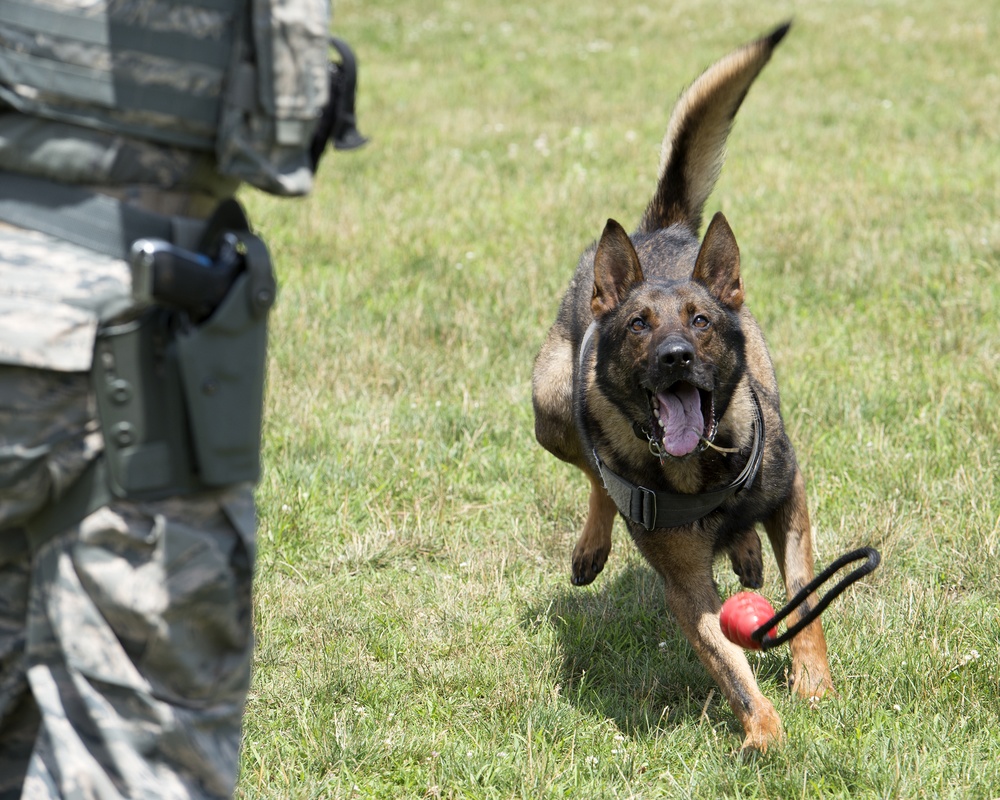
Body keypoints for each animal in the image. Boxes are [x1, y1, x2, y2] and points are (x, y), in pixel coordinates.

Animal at [536, 23, 832, 752]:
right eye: (640, 324)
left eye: (700, 321)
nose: (675, 357)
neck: (703, 467)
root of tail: (658, 229)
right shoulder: (685, 584)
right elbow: (727, 663)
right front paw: (765, 734)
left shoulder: (792, 497)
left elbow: (807, 598)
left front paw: (813, 684)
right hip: (551, 408)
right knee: (592, 470)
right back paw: (593, 546)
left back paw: (746, 549)